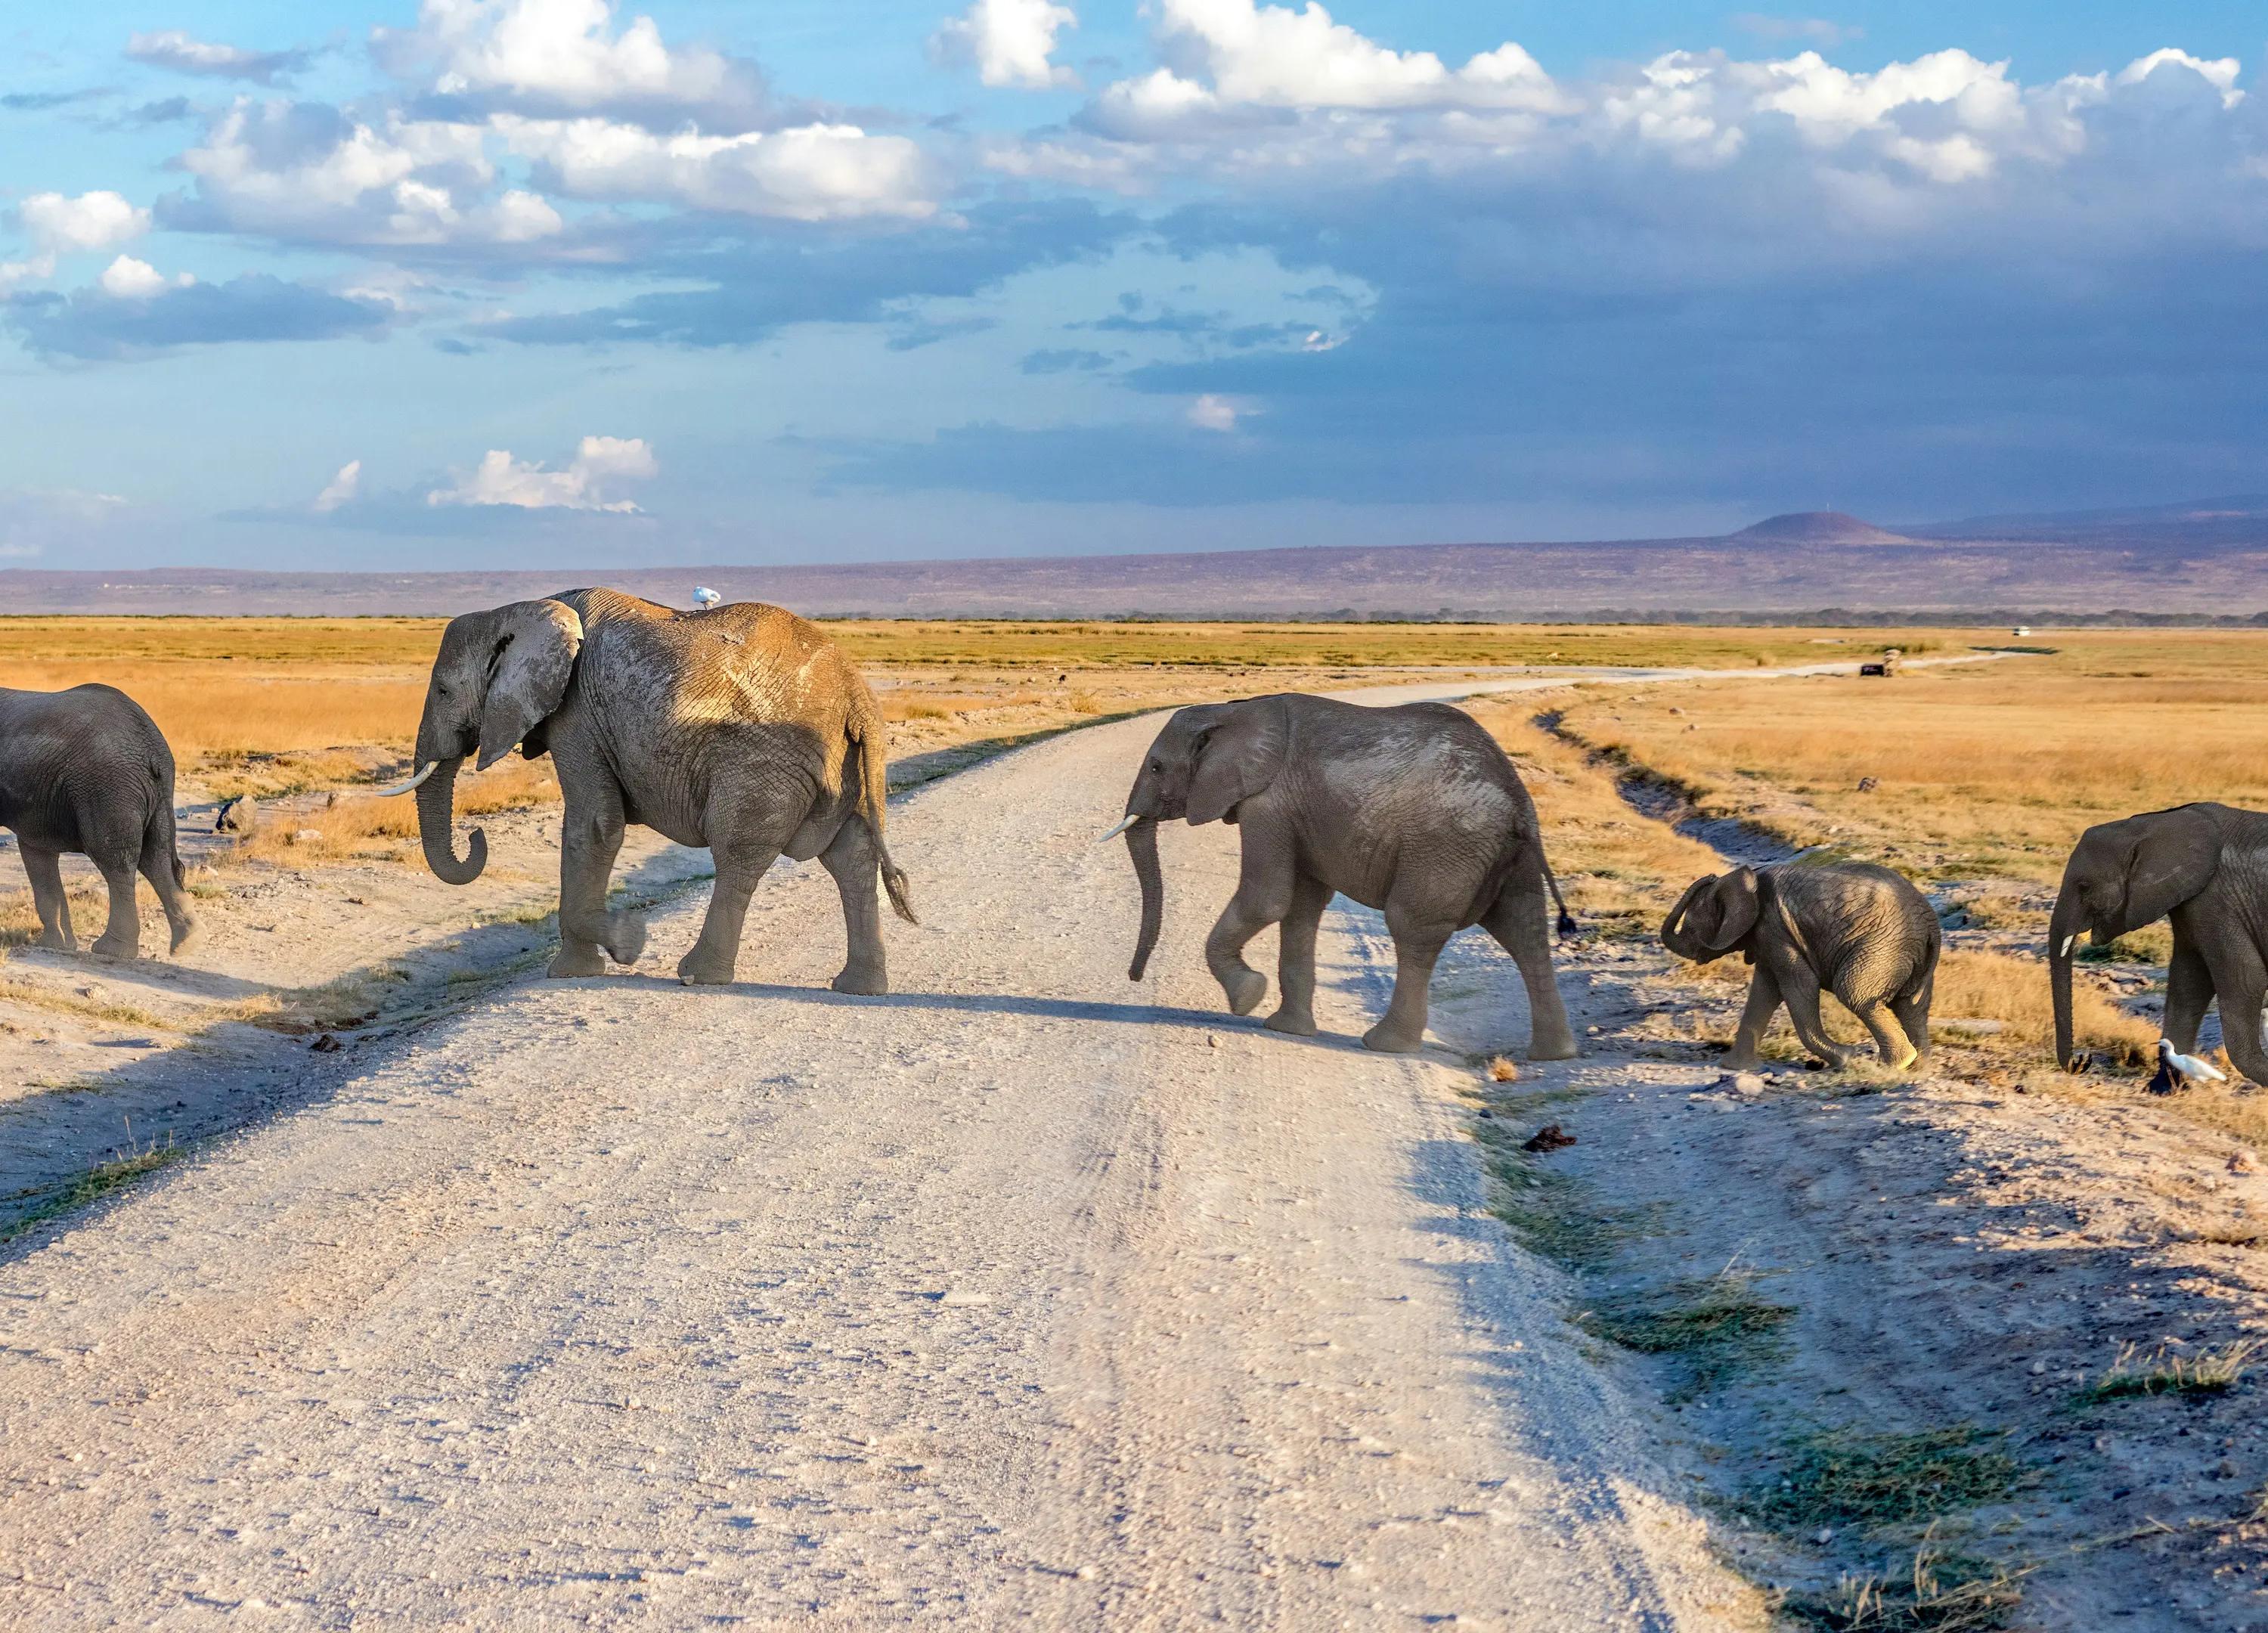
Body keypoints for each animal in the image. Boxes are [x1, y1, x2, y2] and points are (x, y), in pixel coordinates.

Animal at [0, 684, 197, 959]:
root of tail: (151, 746)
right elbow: (38, 849)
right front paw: (56, 946)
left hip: (107, 788)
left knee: (116, 861)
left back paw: (113, 950)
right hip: (158, 793)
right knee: (157, 856)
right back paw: (188, 941)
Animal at [381, 589, 915, 990]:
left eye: (444, 691)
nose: (477, 837)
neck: (521, 610)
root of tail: (857, 697)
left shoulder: (577, 714)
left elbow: (594, 826)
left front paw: (621, 944)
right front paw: (596, 958)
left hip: (762, 765)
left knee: (739, 852)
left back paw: (698, 977)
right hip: (848, 767)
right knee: (851, 858)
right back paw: (858, 987)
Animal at [1112, 694, 1579, 1057]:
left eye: (1156, 767)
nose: (1134, 977)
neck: (1233, 712)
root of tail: (1519, 802)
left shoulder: (1269, 804)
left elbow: (1269, 898)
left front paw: (1246, 999)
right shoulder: (1295, 813)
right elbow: (1300, 906)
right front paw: (1285, 1028)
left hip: (1446, 845)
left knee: (1414, 929)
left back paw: (1386, 1045)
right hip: (1506, 854)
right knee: (1524, 931)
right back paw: (1553, 1054)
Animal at [1661, 858, 1939, 1071]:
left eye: (1690, 927)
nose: (1708, 876)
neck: (1748, 879)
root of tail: (1932, 926)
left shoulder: (1775, 928)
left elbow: (1799, 985)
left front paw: (1846, 1059)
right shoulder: (1768, 937)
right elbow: (1764, 991)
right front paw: (1735, 1068)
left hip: (1883, 947)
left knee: (1855, 994)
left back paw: (1893, 1066)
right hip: (1908, 955)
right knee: (1912, 1007)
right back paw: (1917, 1068)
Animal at [2050, 803, 2268, 1085]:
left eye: (2084, 886)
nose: (2082, 1060)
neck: (2153, 823)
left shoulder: (2218, 899)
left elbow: (2245, 980)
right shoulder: (2193, 900)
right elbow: (2188, 983)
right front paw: (2164, 1086)